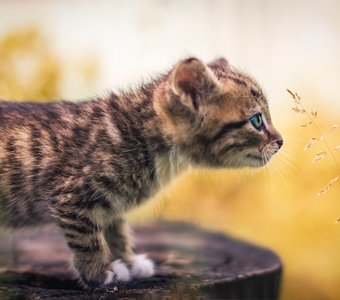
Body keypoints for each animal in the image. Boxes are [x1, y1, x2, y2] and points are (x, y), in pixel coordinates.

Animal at [0, 56, 282, 288]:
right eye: (257, 120)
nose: (281, 141)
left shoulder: (110, 205)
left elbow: (116, 230)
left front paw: (128, 261)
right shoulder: (70, 196)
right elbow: (88, 239)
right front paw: (99, 273)